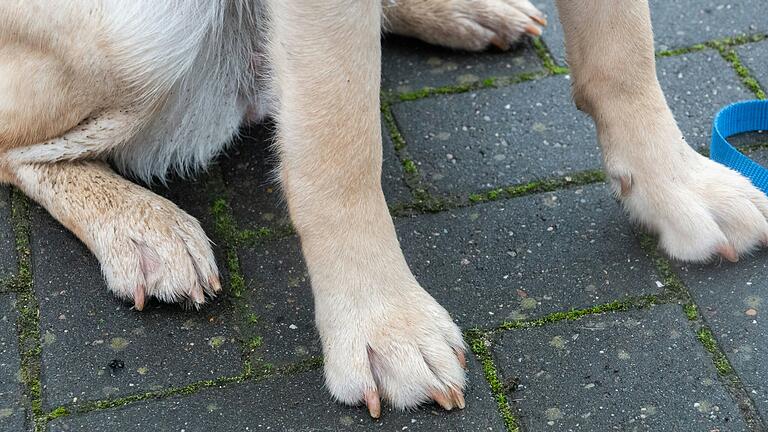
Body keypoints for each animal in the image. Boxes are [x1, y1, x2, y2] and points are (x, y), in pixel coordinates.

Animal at [3, 0, 764, 418]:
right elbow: (339, 146)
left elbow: (625, 51)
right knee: (17, 151)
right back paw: (143, 227)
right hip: (136, 33)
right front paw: (380, 319)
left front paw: (675, 184)